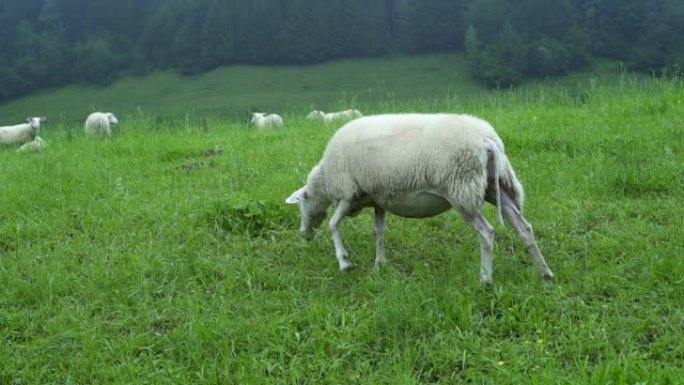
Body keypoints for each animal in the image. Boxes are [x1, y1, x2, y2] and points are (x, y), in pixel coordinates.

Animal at [286, 112, 552, 284]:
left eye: (304, 200)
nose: (303, 235)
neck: (325, 180)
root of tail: (487, 140)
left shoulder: (348, 193)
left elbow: (333, 224)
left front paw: (344, 263)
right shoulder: (378, 199)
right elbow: (378, 231)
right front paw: (379, 264)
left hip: (460, 189)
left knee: (487, 233)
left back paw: (485, 279)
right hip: (497, 186)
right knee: (524, 228)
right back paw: (545, 273)